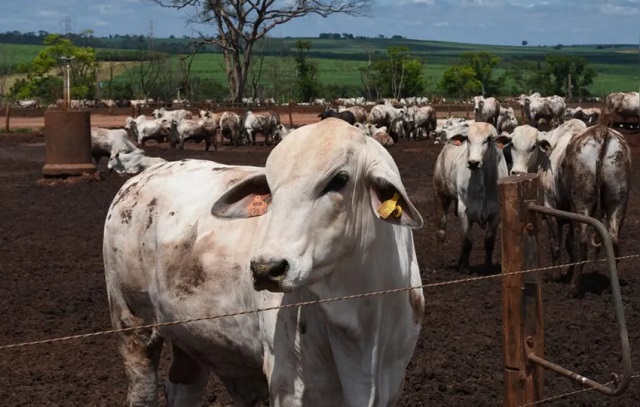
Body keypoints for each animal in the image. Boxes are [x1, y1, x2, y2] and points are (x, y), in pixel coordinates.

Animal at [104, 118, 424, 407]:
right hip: (132, 327)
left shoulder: (391, 385)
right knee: (142, 391)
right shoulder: (290, 387)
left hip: (190, 340)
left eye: (339, 179)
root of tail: (137, 179)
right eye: (270, 186)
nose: (265, 269)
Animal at [432, 121, 508, 274]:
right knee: (441, 230)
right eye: (468, 139)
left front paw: (487, 267)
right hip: (441, 195)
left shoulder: (496, 213)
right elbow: (468, 241)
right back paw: (441, 262)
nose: (473, 162)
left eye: (488, 139)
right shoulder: (465, 211)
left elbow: (488, 241)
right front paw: (466, 269)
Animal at [496, 119, 632, 298]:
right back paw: (609, 288)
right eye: (512, 144)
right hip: (617, 203)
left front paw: (557, 276)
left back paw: (574, 288)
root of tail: (602, 132)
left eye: (533, 146)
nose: (516, 171)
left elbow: (556, 244)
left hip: (582, 203)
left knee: (582, 243)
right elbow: (569, 244)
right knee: (613, 241)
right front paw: (568, 272)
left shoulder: (550, 206)